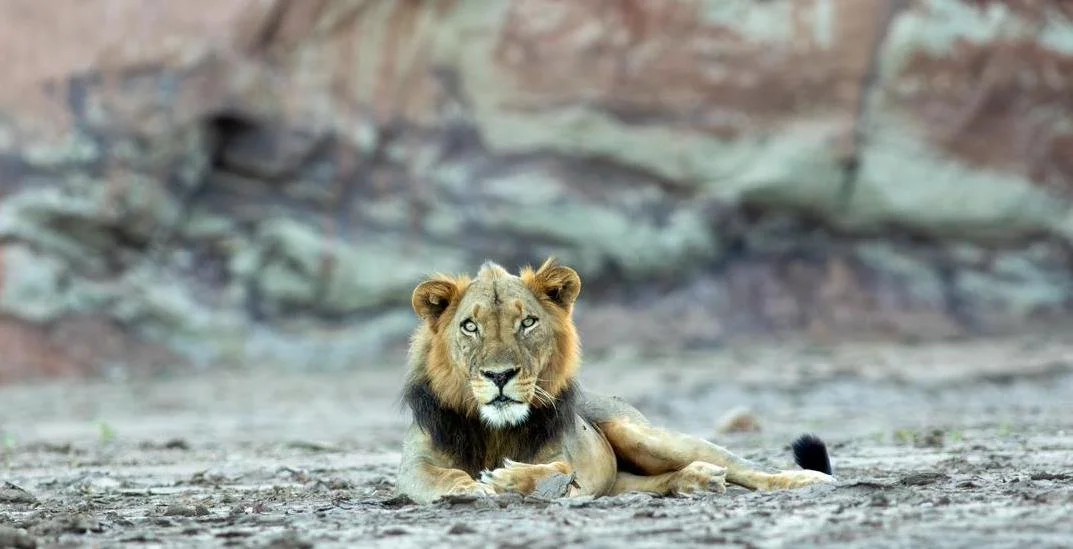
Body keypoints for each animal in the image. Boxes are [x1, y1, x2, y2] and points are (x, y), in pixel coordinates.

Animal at [396, 257, 836, 503]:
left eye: (528, 323)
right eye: (470, 326)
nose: (499, 375)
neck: (494, 431)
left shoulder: (574, 467)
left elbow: (556, 471)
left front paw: (509, 478)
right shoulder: (414, 465)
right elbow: (440, 475)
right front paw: (469, 486)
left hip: (643, 435)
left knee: (746, 468)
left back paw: (805, 479)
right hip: (625, 479)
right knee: (658, 480)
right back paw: (696, 481)